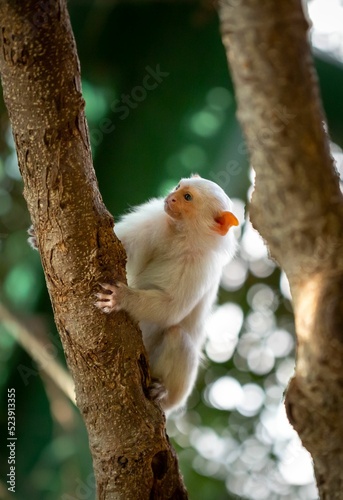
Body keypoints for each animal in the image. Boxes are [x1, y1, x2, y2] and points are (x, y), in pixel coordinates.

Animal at [94, 177, 239, 414]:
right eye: (179, 187)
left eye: (187, 197)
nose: (170, 197)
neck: (182, 236)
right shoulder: (154, 221)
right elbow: (123, 241)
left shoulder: (200, 267)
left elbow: (171, 309)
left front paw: (122, 298)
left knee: (178, 336)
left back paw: (162, 393)